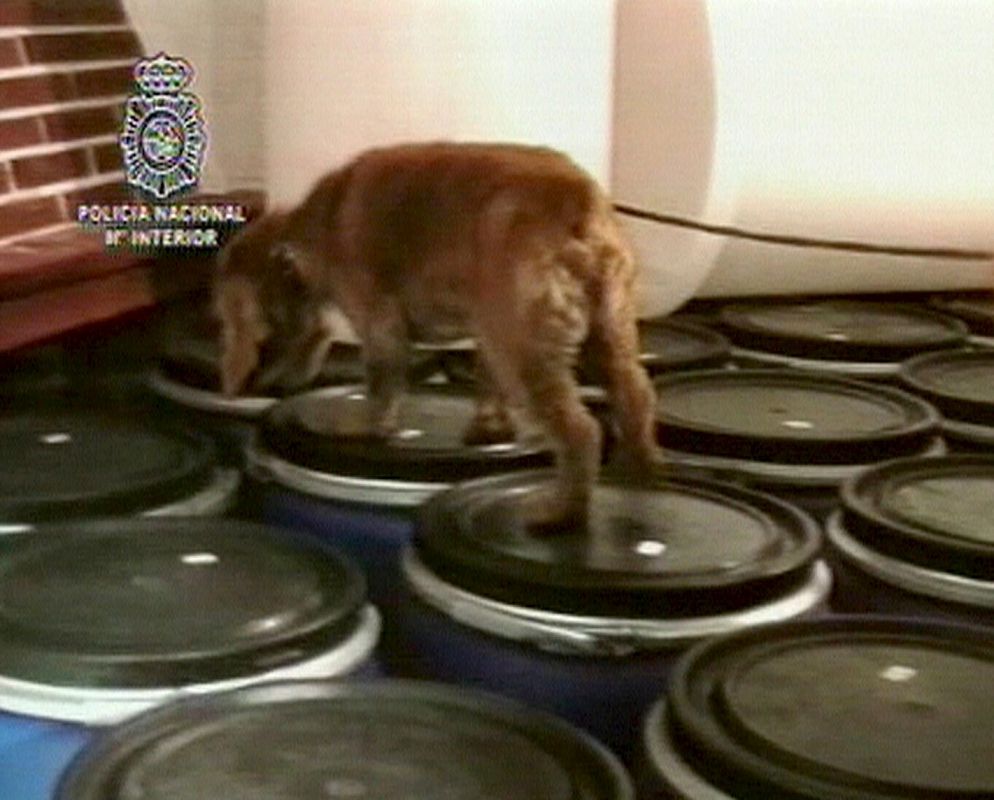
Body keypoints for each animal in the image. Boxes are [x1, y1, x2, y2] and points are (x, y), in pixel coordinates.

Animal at [215, 142, 660, 532]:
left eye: (261, 338)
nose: (262, 385)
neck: (322, 222)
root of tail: (580, 199)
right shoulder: (485, 330)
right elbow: (485, 385)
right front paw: (488, 428)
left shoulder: (382, 324)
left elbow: (381, 389)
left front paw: (364, 426)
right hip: (607, 337)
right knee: (637, 399)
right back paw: (638, 472)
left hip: (525, 350)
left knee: (582, 432)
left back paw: (560, 512)